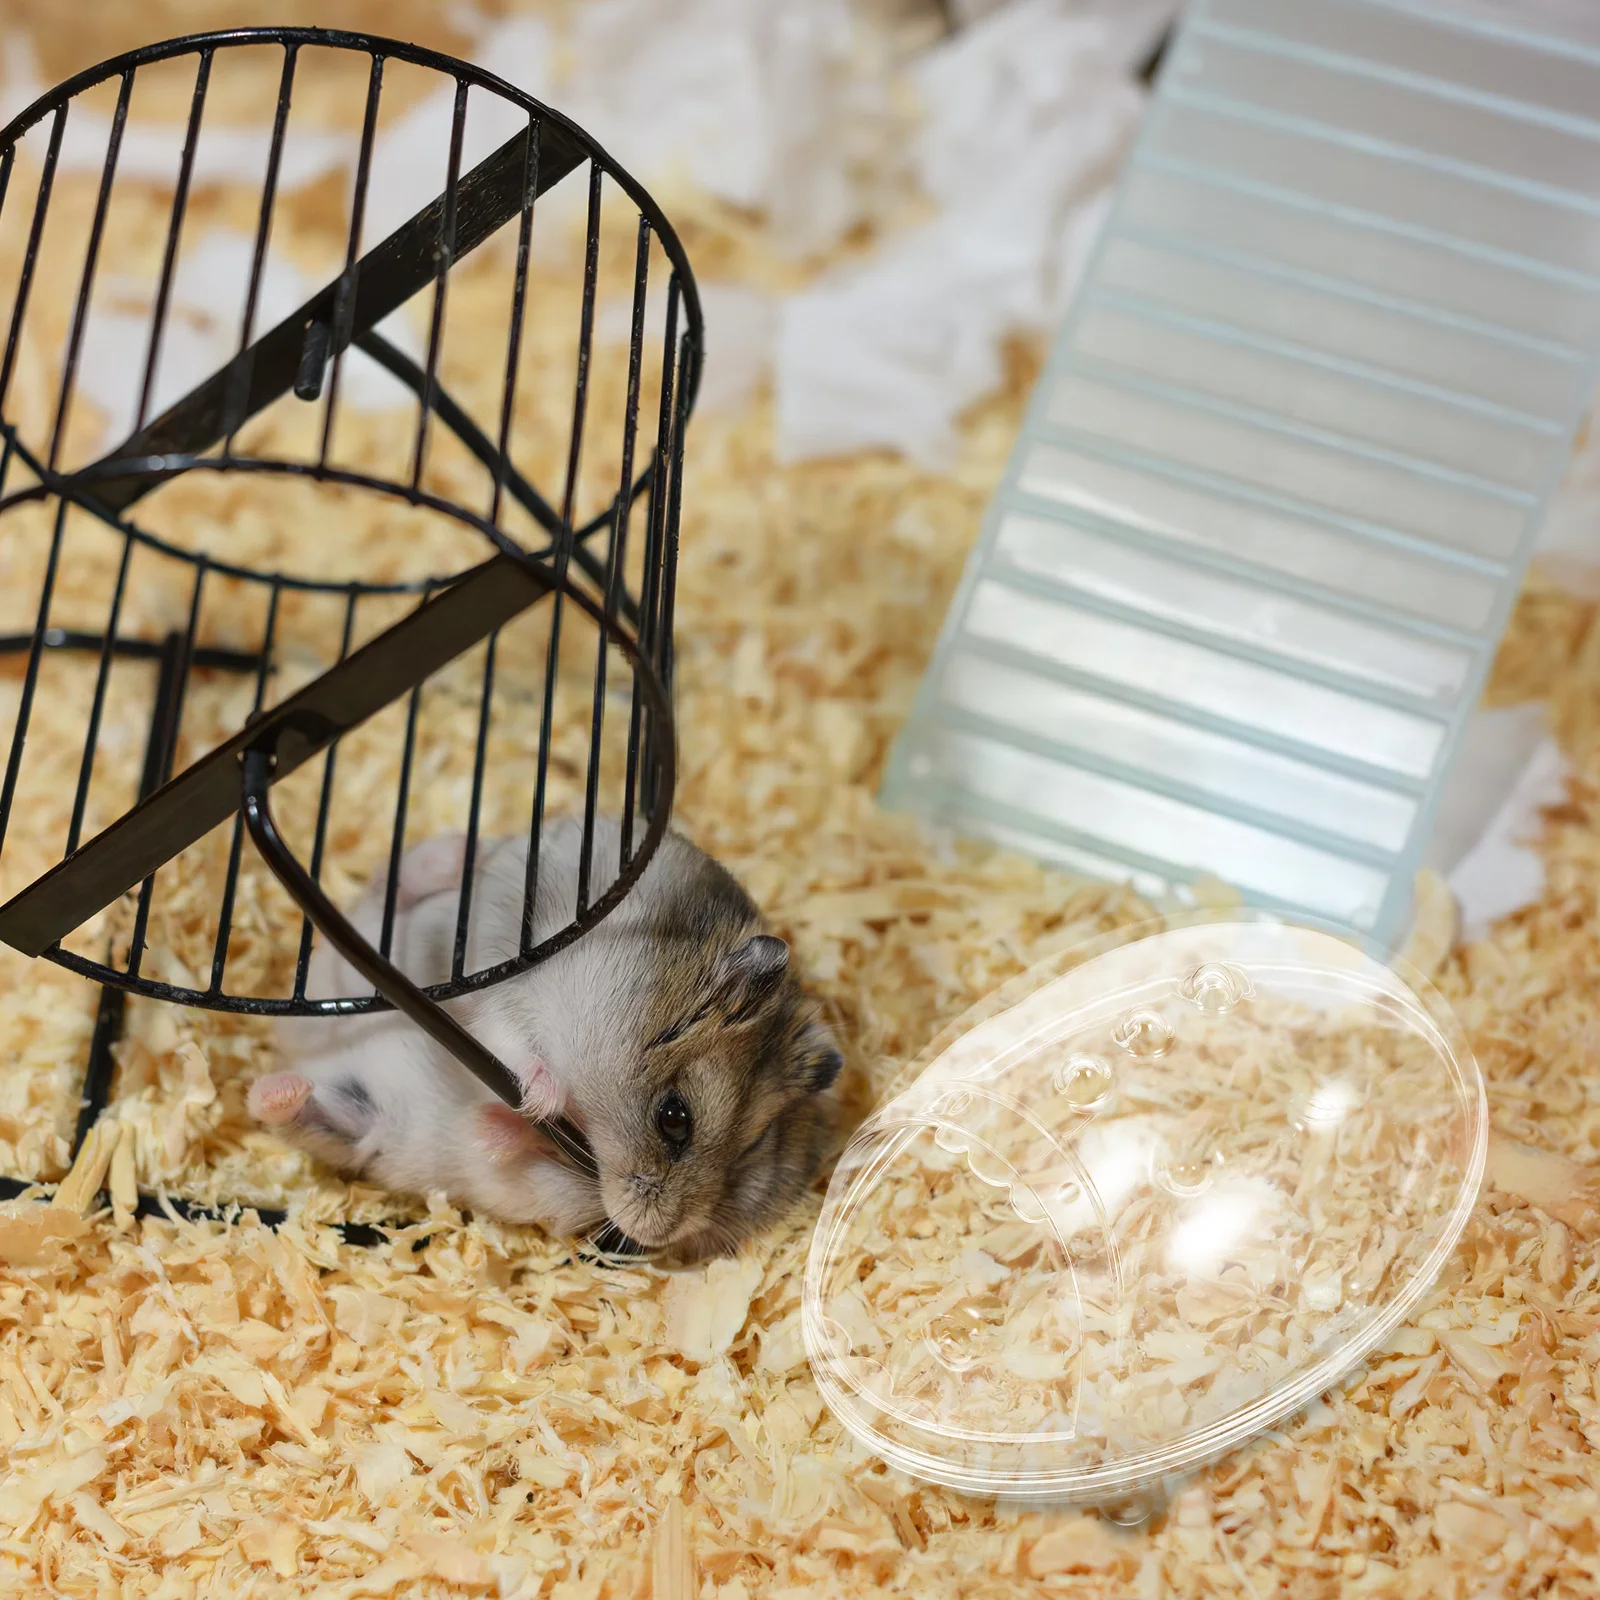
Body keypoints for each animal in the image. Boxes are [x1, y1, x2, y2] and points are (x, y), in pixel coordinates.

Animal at [252, 815, 844, 1256]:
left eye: (754, 1148)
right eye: (674, 1118)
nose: (658, 1234)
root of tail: (296, 1044)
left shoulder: (558, 1193)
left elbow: (513, 1153)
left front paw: (497, 1126)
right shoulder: (504, 997)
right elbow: (517, 1048)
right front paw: (542, 1097)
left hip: (358, 1114)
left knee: (303, 1114)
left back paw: (277, 1090)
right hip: (370, 962)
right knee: (385, 896)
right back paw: (453, 851)